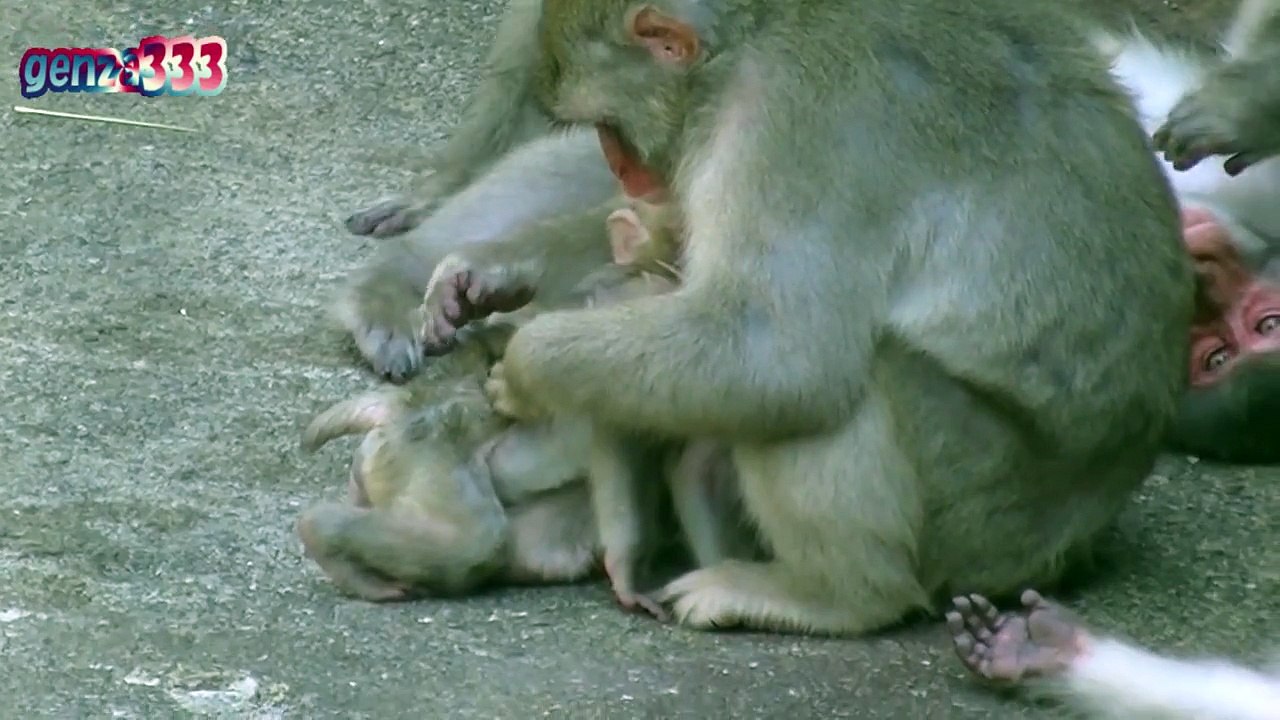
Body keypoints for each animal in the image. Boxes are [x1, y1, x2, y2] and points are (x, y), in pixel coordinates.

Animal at [417, 0, 1195, 635]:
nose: (619, 168)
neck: (746, 44)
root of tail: (1077, 535)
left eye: (607, 127)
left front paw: (525, 370)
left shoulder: (788, 125)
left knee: (838, 385)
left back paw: (832, 596)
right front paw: (491, 271)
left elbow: (772, 350)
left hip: (982, 508)